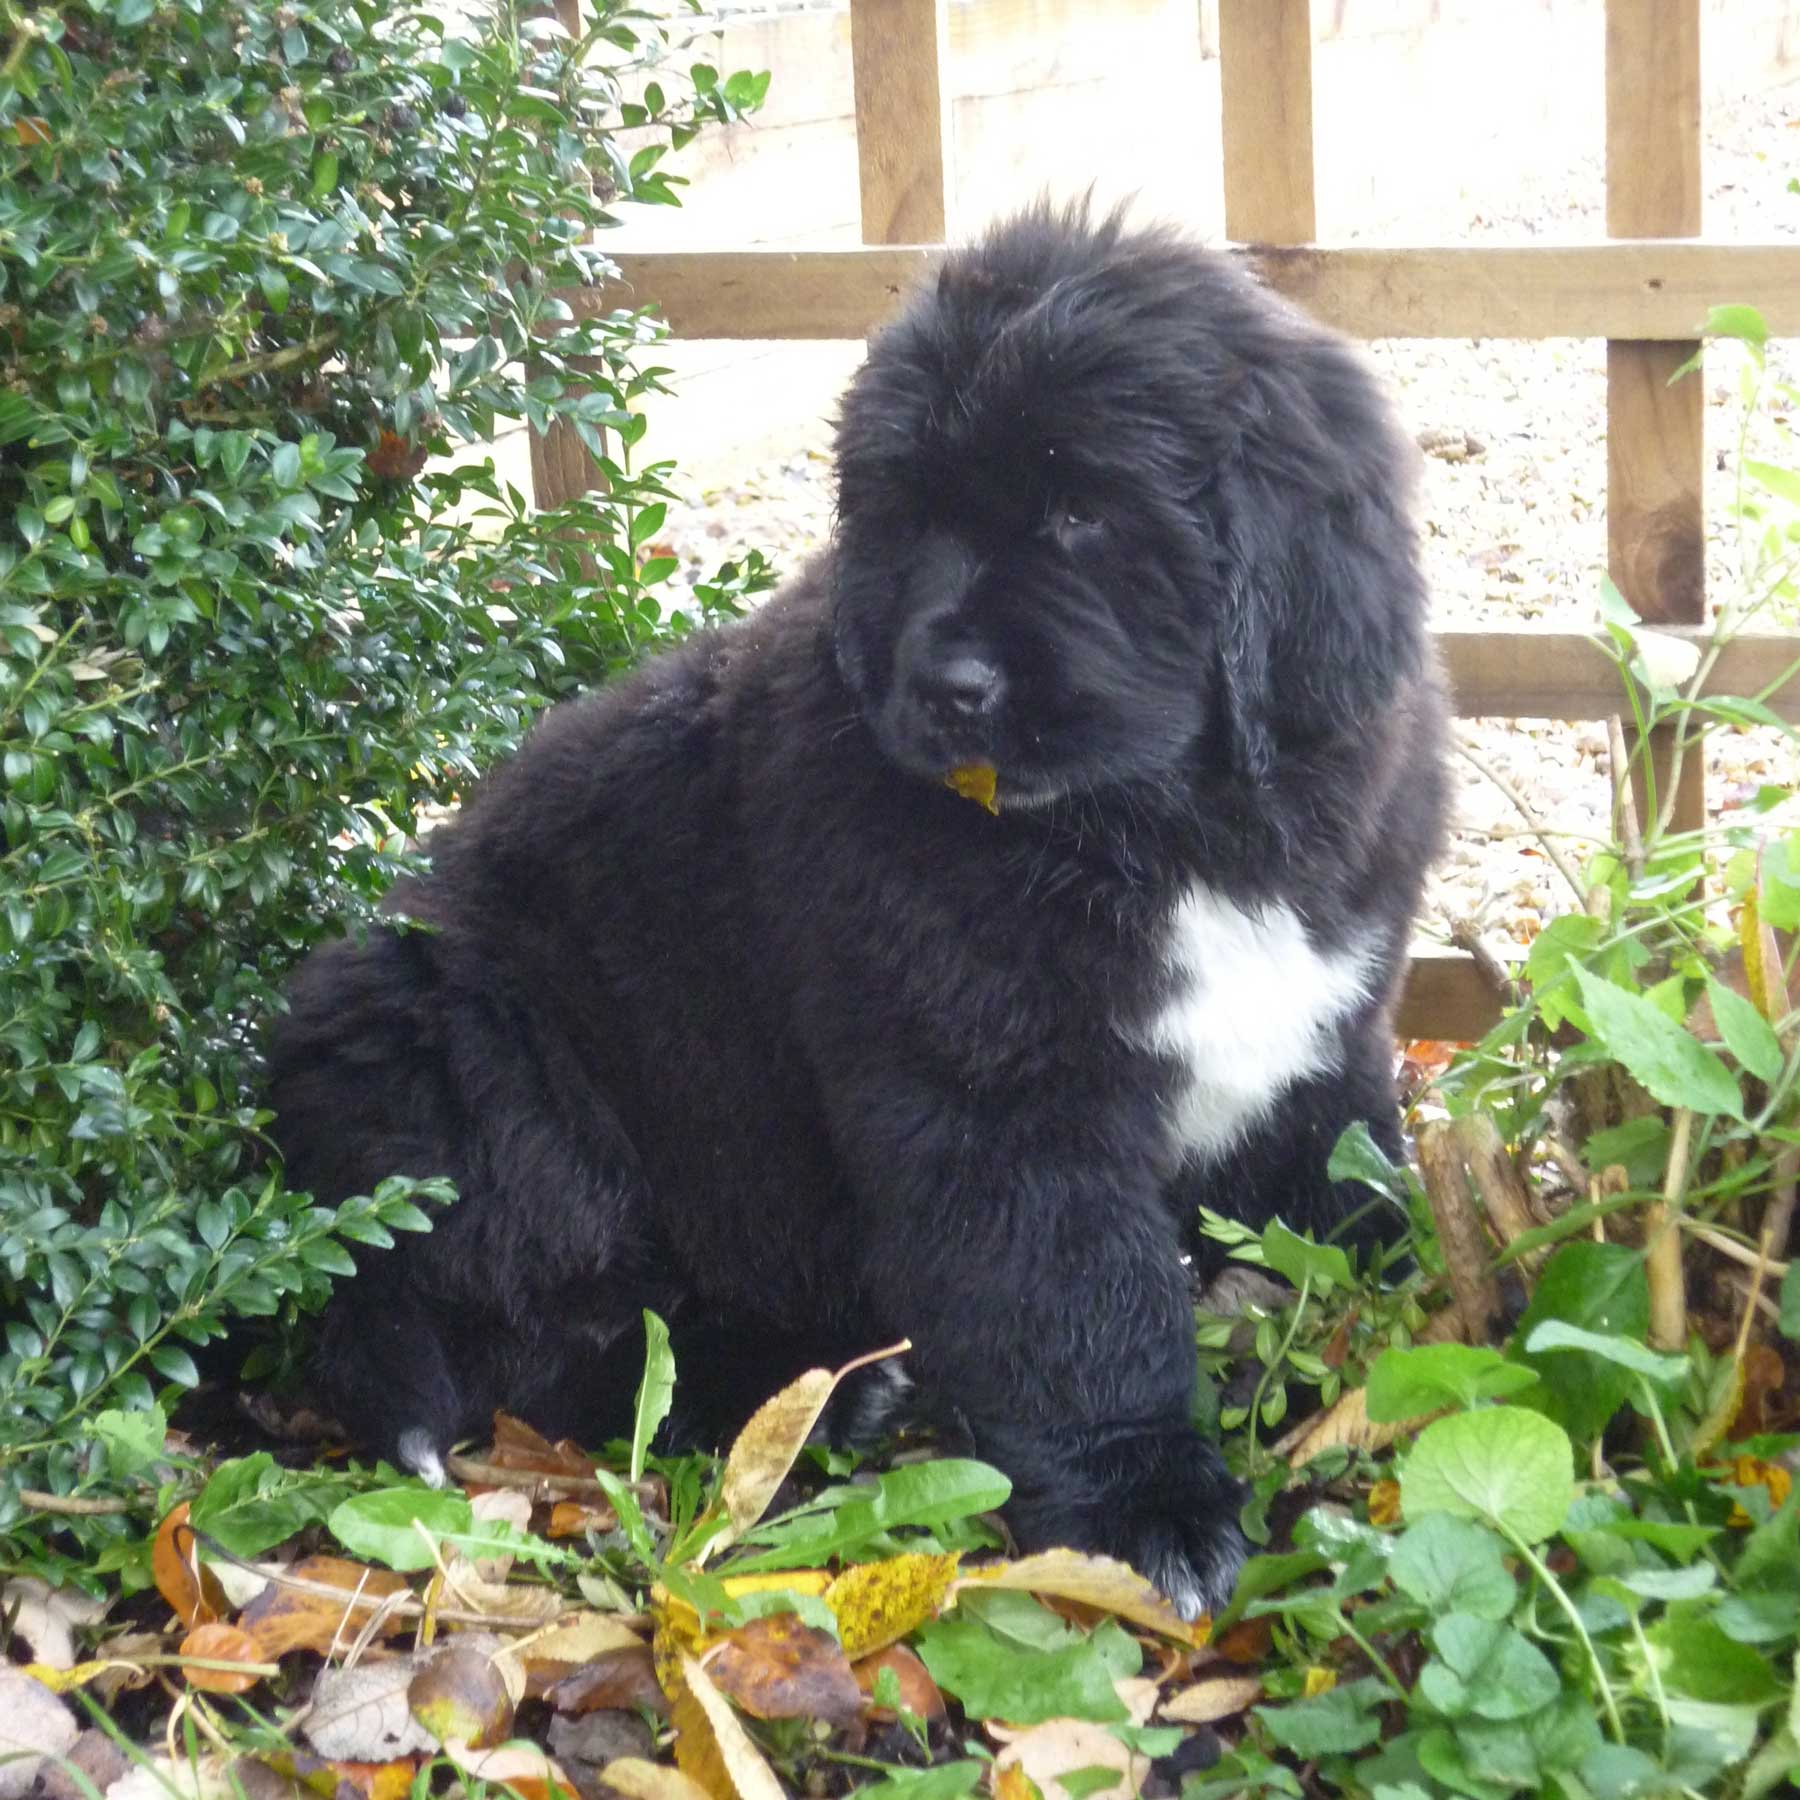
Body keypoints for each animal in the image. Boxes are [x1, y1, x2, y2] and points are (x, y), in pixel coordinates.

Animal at [266, 207, 1447, 1620]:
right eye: (913, 524)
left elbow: (1356, 1171)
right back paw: (800, 1394)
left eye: (1080, 514)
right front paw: (1144, 1504)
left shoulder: (1331, 1016)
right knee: (544, 1334)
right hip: (472, 1053)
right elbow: (1077, 1303)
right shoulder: (992, 1098)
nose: (948, 686)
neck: (1156, 830)